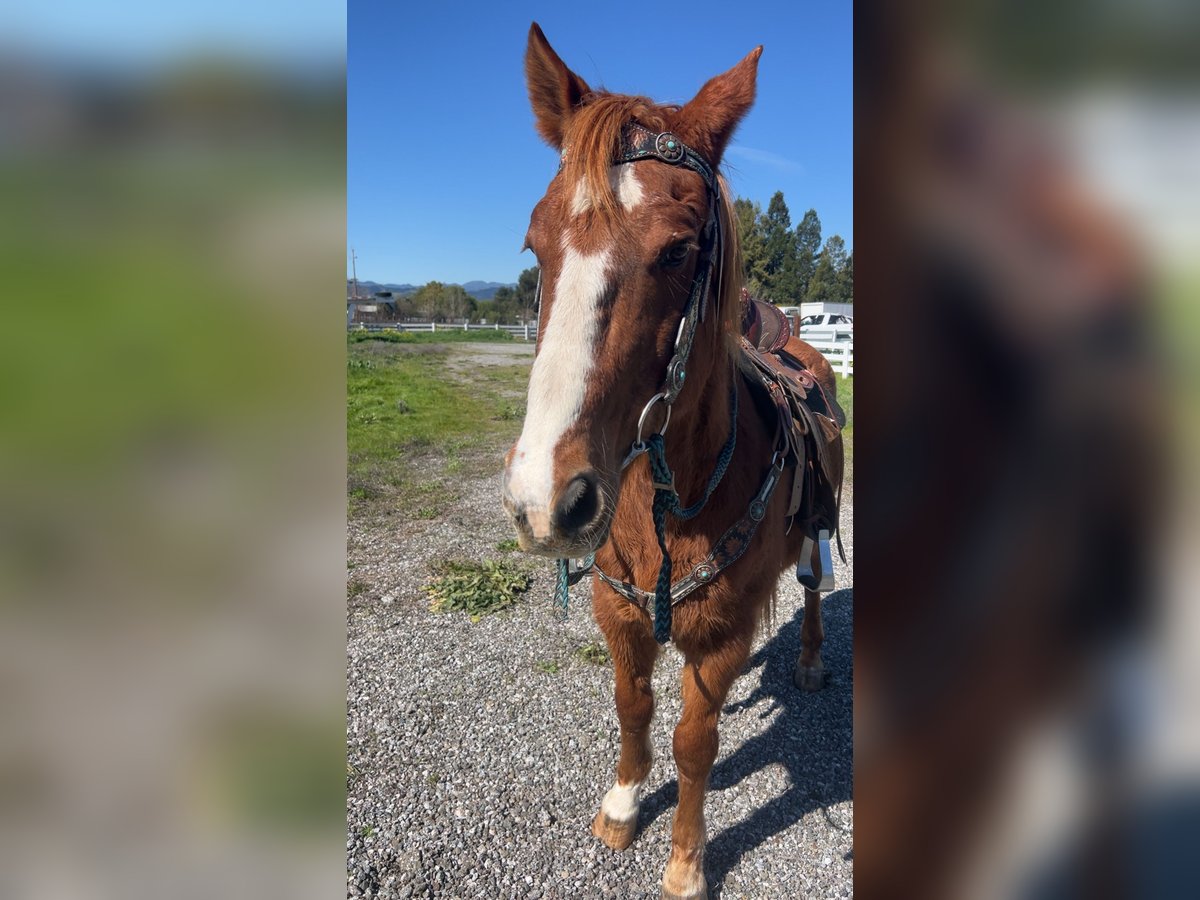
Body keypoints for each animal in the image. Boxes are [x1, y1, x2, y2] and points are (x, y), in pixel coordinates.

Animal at [501, 24, 845, 900]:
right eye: (535, 243)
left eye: (681, 250)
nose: (545, 500)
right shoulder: (618, 615)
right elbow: (634, 709)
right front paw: (624, 805)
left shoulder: (717, 640)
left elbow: (696, 743)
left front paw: (687, 860)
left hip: (815, 536)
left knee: (812, 584)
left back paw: (810, 660)